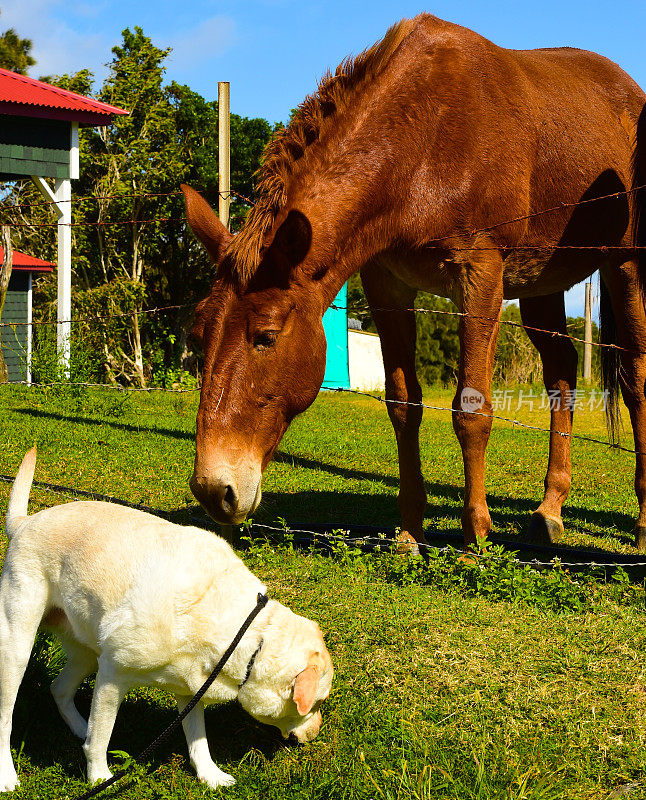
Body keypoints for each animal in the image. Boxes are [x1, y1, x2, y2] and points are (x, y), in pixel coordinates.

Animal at [0, 450, 334, 792]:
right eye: (317, 703)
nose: (317, 733)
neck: (243, 632)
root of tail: (25, 523)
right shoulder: (112, 676)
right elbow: (102, 737)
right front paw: (99, 777)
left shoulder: (191, 688)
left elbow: (198, 738)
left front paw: (210, 774)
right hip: (17, 647)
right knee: (6, 717)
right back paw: (8, 775)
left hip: (86, 651)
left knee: (59, 689)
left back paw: (80, 728)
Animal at [180, 14, 646, 552]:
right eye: (197, 335)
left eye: (266, 337)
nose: (214, 490)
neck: (421, 145)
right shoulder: (388, 285)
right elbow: (403, 405)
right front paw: (408, 532)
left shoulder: (479, 276)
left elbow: (471, 409)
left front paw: (474, 536)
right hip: (540, 284)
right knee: (562, 374)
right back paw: (549, 510)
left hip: (626, 268)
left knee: (636, 380)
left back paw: (641, 521)